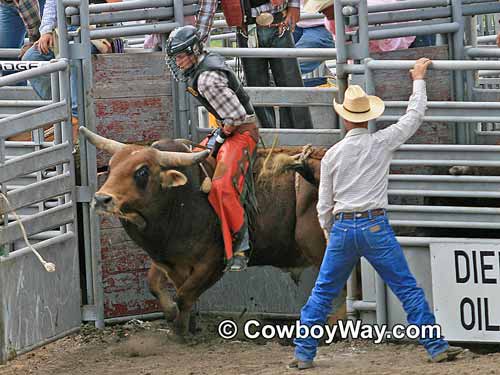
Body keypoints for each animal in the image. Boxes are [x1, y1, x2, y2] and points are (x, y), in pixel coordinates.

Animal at [80, 128, 326, 336]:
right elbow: (155, 284)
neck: (180, 200)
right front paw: (176, 317)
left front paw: (180, 331)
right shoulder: (167, 257)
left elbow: (184, 295)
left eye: (142, 171)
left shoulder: (211, 264)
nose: (101, 199)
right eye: (110, 166)